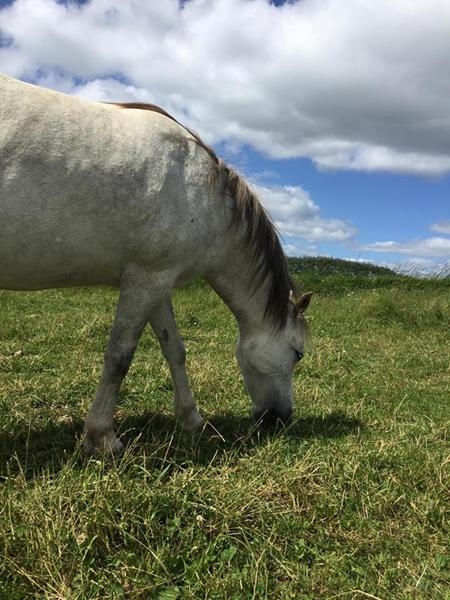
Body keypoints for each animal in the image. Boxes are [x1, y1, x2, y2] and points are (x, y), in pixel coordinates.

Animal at [0, 72, 312, 452]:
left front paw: (191, 419)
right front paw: (102, 436)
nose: (281, 417)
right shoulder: (145, 280)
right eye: (297, 354)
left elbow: (174, 349)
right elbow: (119, 357)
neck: (205, 195)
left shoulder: (157, 281)